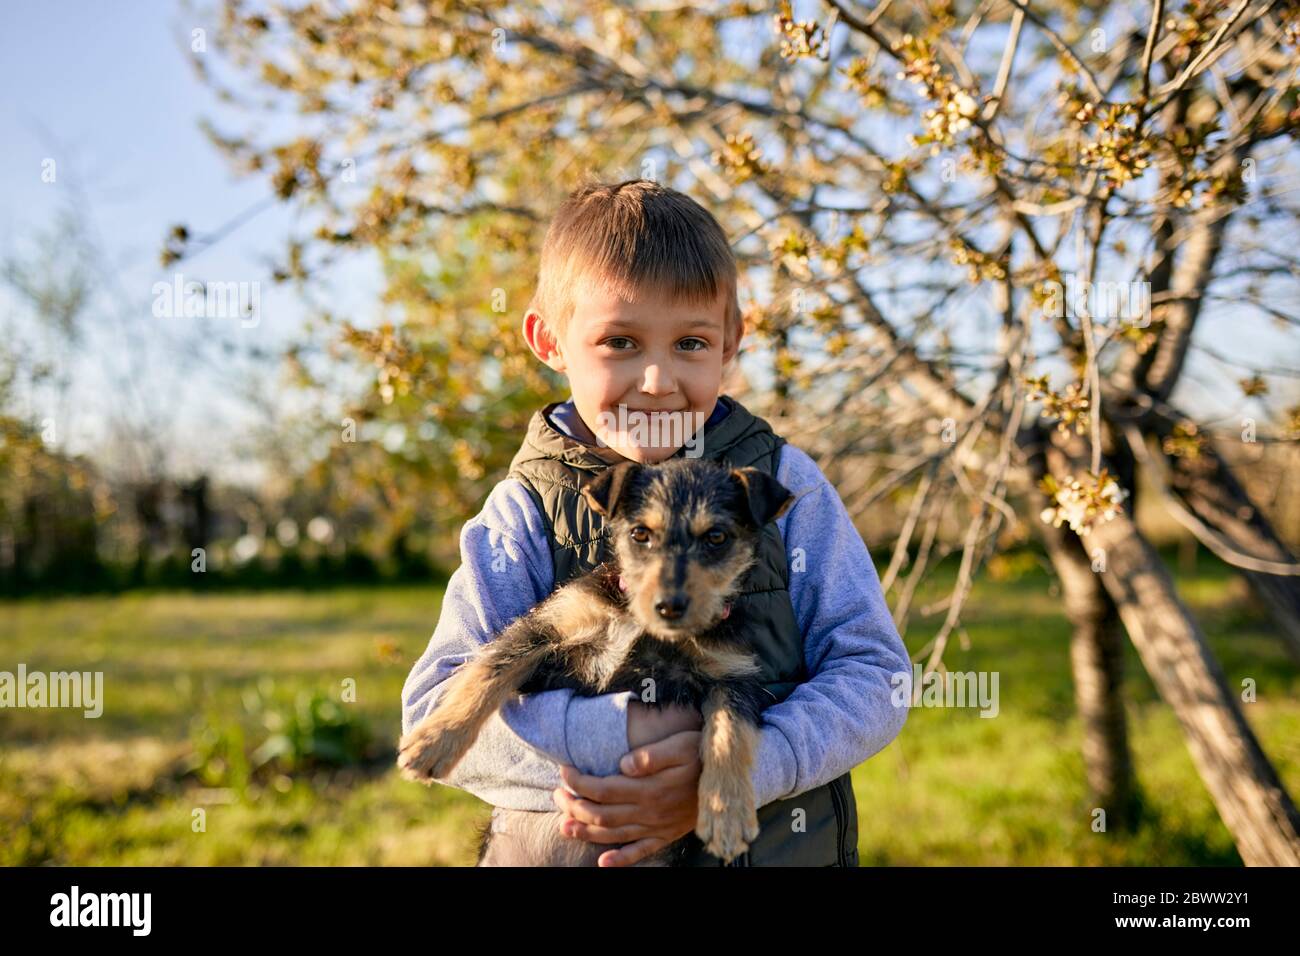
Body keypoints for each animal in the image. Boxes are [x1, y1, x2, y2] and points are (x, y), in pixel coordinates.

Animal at [400, 457, 795, 868]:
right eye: (640, 534)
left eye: (716, 538)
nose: (669, 606)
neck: (644, 625)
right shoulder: (544, 628)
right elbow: (489, 670)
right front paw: (433, 740)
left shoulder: (733, 678)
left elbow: (729, 735)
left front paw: (726, 815)